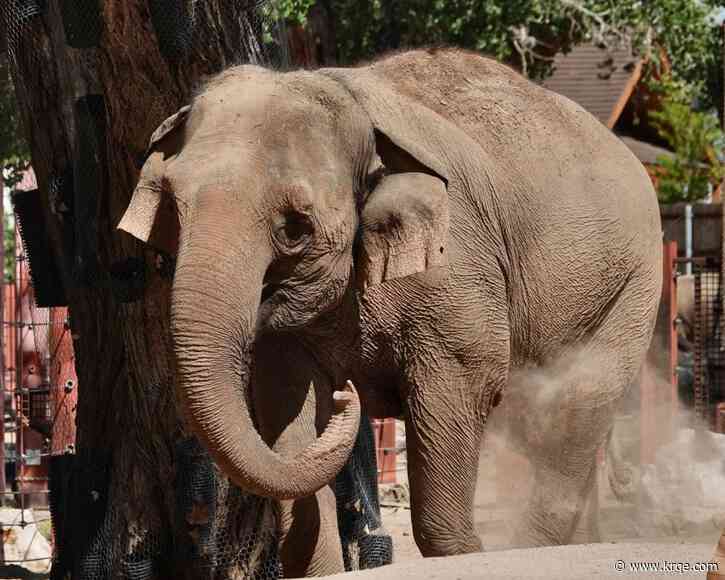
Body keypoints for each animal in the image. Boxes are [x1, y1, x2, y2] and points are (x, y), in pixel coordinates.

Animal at [117, 47, 660, 572]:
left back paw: (533, 548)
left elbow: (466, 379)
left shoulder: (458, 266)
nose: (346, 398)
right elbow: (284, 402)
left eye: (295, 228)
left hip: (635, 283)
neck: (350, 100)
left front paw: (467, 551)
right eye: (171, 208)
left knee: (578, 401)